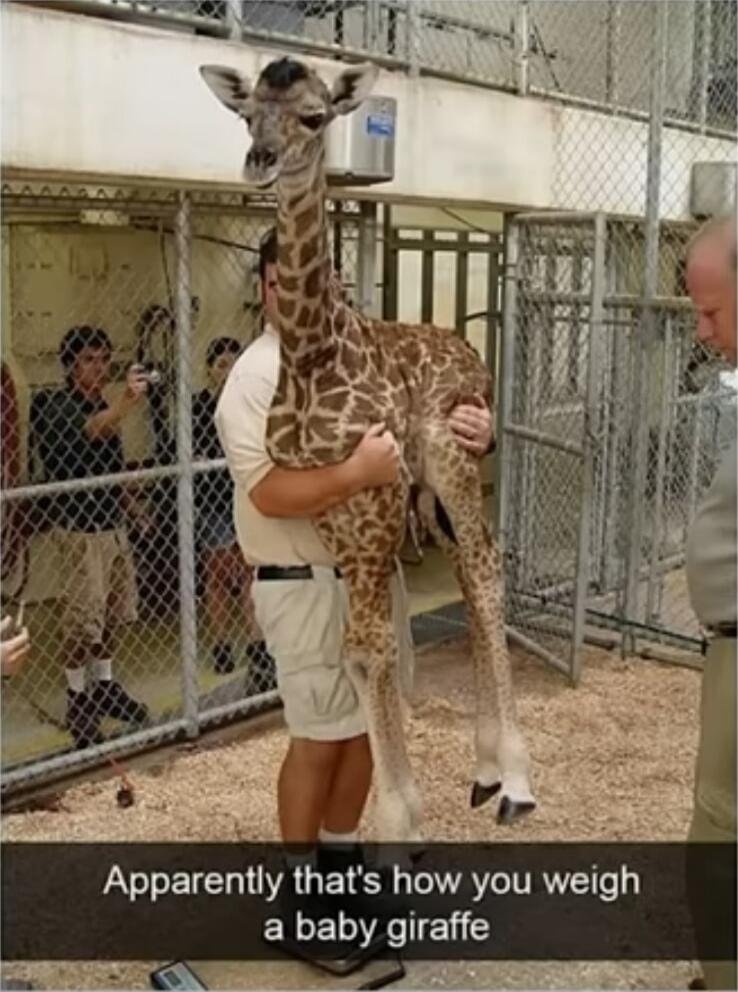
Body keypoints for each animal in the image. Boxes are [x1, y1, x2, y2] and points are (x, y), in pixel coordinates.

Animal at [200, 56, 536, 841]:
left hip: (452, 460)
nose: (260, 161)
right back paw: (483, 771)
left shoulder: (375, 502)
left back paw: (515, 779)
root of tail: (471, 353)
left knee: (486, 572)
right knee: (470, 578)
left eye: (314, 116)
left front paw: (398, 826)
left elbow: (374, 646)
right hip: (429, 500)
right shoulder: (337, 515)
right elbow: (357, 652)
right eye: (246, 115)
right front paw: (398, 816)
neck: (312, 356)